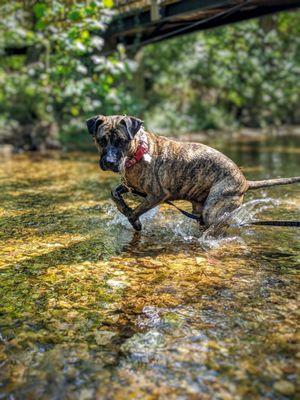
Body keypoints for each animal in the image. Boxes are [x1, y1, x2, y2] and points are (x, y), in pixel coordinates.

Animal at [86, 114, 300, 233]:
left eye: (122, 141)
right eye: (101, 140)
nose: (109, 162)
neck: (139, 152)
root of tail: (245, 181)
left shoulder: (156, 195)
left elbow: (134, 212)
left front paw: (135, 222)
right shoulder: (131, 186)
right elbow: (114, 193)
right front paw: (122, 208)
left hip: (214, 208)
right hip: (200, 208)